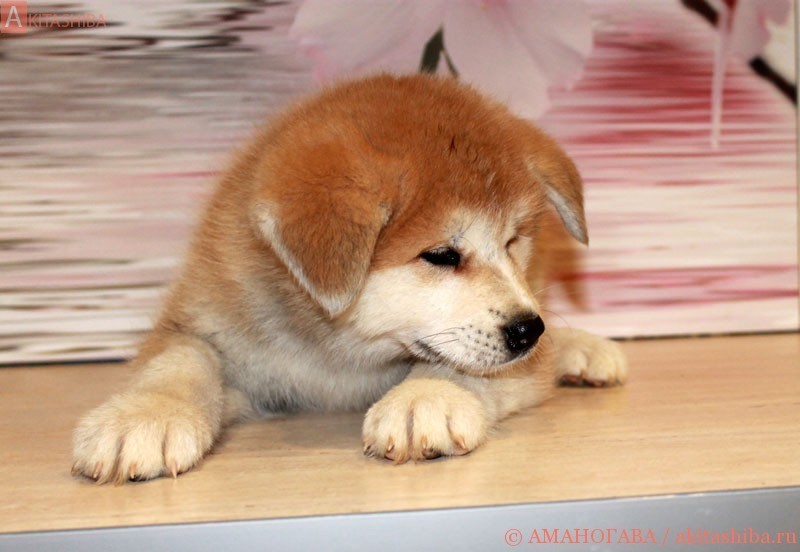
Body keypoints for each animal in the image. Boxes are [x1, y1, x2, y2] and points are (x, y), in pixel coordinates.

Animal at [72, 74, 627, 484]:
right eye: (441, 255)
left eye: (513, 241)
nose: (526, 329)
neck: (336, 359)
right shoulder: (206, 319)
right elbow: (179, 361)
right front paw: (145, 415)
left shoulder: (516, 354)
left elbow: (463, 367)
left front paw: (426, 396)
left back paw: (581, 350)